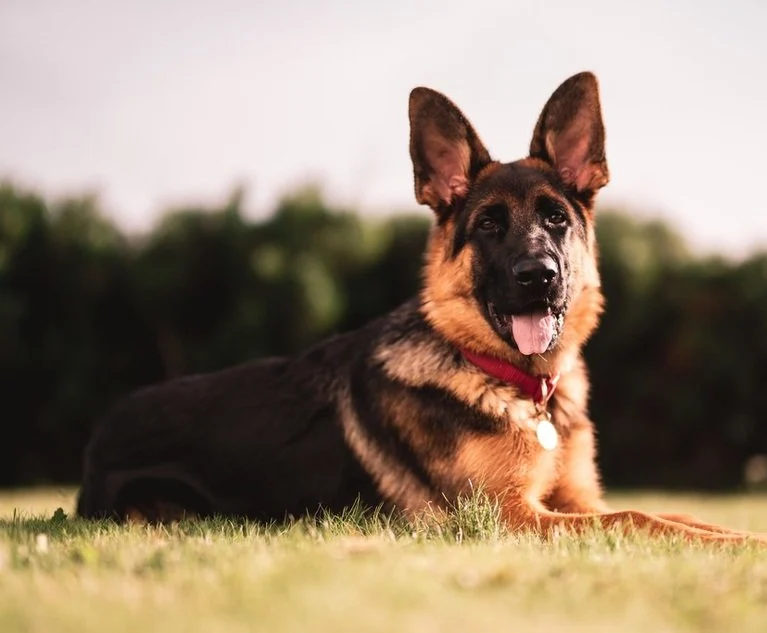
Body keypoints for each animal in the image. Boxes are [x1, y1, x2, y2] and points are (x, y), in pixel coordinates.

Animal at [81, 70, 764, 544]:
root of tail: (102, 432)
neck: (516, 386)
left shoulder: (575, 502)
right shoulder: (515, 518)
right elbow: (640, 516)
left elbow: (675, 513)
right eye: (488, 225)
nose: (538, 278)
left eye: (555, 219)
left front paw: (740, 537)